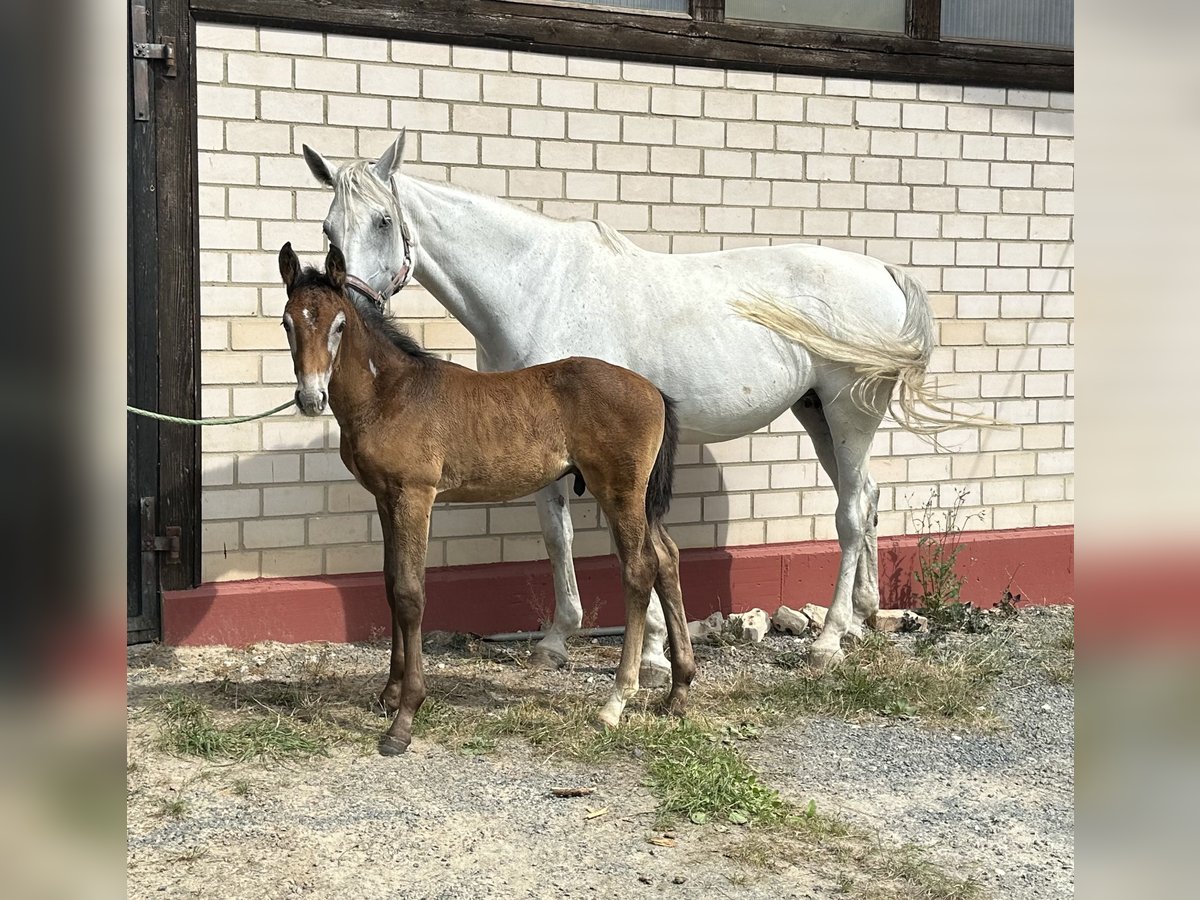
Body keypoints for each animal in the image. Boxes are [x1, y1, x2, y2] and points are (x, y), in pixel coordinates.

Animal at [278, 244, 696, 753]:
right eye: (287, 322)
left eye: (338, 325)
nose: (310, 397)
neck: (389, 393)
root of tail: (654, 390)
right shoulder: (385, 498)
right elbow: (390, 584)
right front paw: (388, 694)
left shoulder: (416, 496)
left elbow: (410, 592)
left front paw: (404, 718)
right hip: (639, 497)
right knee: (668, 558)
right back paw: (678, 691)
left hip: (619, 491)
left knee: (639, 569)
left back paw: (615, 702)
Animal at [304, 132, 950, 676]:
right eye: (328, 230)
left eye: (385, 220)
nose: (349, 313)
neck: (534, 287)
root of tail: (883, 271)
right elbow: (556, 533)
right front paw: (560, 640)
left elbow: (626, 540)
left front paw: (653, 653)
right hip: (815, 412)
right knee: (866, 497)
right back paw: (865, 616)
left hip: (848, 413)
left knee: (849, 512)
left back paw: (831, 639)